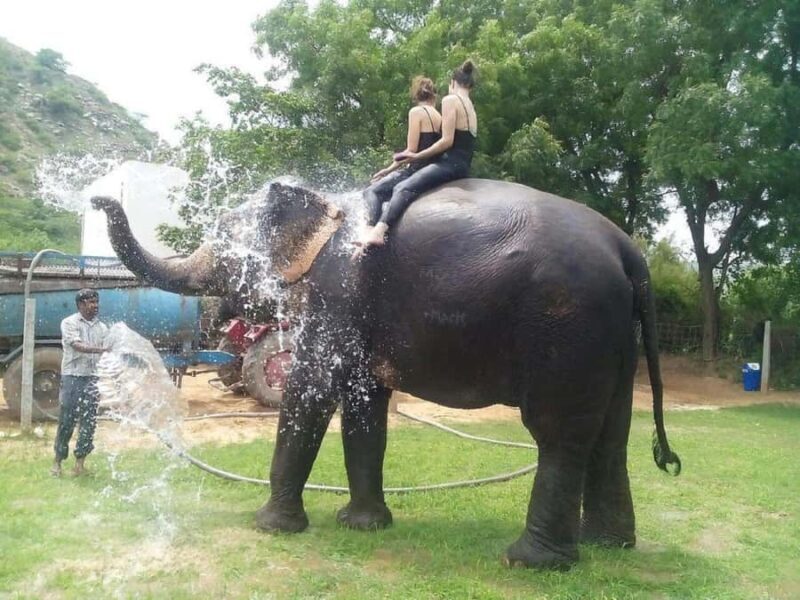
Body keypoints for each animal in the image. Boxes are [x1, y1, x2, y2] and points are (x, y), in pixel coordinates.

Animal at [91, 178, 680, 570]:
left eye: (226, 245)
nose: (98, 199)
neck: (325, 205)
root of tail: (629, 252)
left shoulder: (336, 291)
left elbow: (310, 391)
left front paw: (272, 528)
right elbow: (363, 403)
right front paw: (363, 525)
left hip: (567, 323)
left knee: (558, 434)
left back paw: (532, 562)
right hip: (612, 334)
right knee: (611, 433)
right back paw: (608, 545)